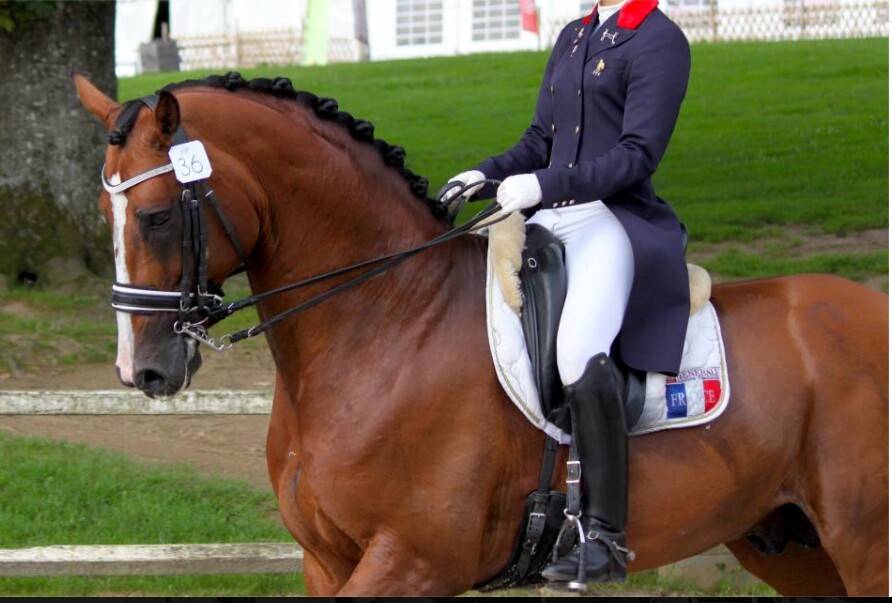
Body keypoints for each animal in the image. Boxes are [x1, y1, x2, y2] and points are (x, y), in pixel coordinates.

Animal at [73, 72, 888, 596]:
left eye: (156, 216)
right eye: (104, 214)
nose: (141, 372)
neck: (389, 321)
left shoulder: (413, 563)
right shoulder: (327, 561)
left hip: (863, 542)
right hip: (789, 544)